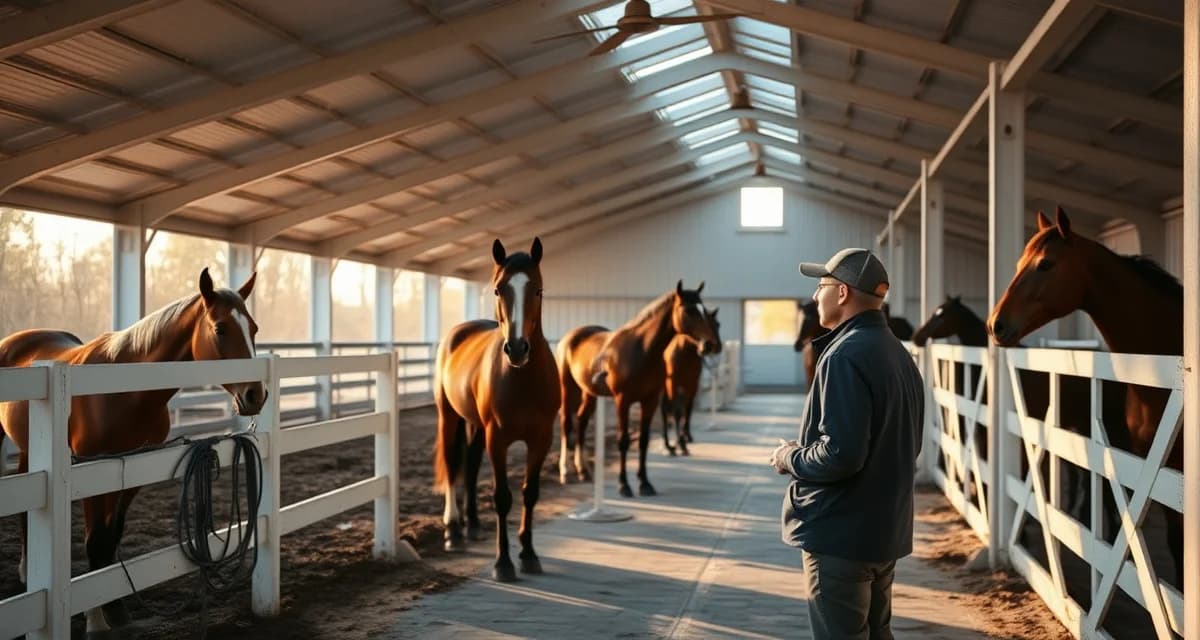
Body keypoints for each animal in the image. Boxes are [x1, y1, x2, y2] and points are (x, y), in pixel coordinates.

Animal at [0, 267, 265, 634]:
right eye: (220, 328)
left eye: (253, 328)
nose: (255, 394)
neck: (126, 390)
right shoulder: (91, 468)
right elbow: (96, 539)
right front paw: (97, 621)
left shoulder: (134, 468)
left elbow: (112, 536)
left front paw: (115, 609)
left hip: (31, 448)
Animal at [433, 238, 559, 583]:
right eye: (498, 289)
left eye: (538, 289)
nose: (517, 349)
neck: (522, 379)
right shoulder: (498, 439)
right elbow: (502, 497)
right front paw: (503, 562)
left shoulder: (541, 439)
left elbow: (530, 492)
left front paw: (528, 553)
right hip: (449, 417)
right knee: (452, 465)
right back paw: (453, 532)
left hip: (476, 426)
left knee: (471, 467)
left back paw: (473, 525)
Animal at [660, 307, 723, 456]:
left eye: (717, 324)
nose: (711, 345)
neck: (685, 353)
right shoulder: (674, 384)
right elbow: (677, 411)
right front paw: (680, 444)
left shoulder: (692, 385)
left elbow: (687, 410)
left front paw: (684, 440)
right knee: (665, 409)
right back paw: (667, 444)